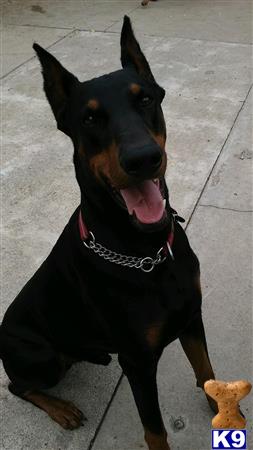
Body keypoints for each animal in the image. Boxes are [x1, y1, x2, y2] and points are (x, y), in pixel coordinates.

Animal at [0, 15, 216, 450]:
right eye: (89, 118)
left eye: (145, 99)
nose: (142, 159)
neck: (146, 251)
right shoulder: (138, 362)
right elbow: (155, 429)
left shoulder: (191, 317)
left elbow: (206, 372)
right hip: (41, 358)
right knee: (18, 386)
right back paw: (62, 409)